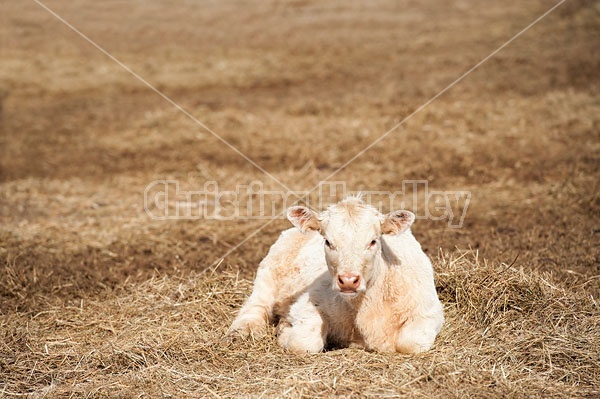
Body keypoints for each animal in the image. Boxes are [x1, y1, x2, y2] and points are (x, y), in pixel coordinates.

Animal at [227, 195, 442, 354]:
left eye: (373, 241)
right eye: (328, 242)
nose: (348, 281)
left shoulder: (429, 312)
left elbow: (412, 343)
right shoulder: (306, 303)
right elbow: (305, 342)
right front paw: (283, 330)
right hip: (268, 273)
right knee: (256, 305)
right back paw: (244, 329)